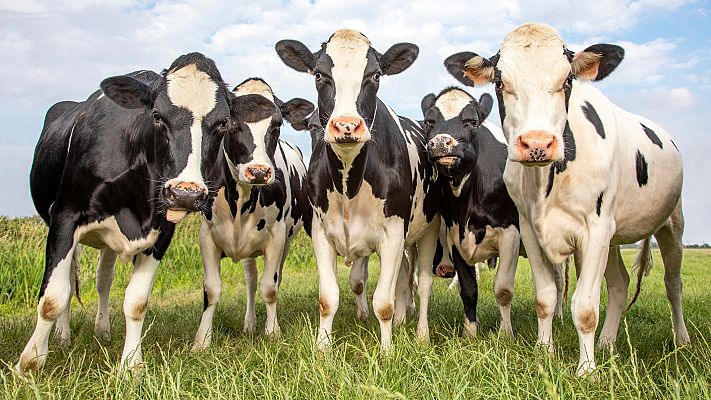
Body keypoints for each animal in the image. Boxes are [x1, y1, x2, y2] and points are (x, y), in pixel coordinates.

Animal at [19, 53, 232, 373]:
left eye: (222, 123)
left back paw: (103, 330)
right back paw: (63, 337)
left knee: (103, 280)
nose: (186, 193)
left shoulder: (161, 230)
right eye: (157, 115)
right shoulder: (65, 216)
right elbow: (52, 297)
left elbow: (137, 301)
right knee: (69, 281)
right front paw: (30, 362)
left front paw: (131, 365)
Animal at [191, 78, 313, 350]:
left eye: (277, 124)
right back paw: (249, 323)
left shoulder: (277, 236)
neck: (240, 203)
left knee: (270, 278)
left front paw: (273, 332)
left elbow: (270, 287)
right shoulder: (207, 235)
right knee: (250, 280)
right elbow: (211, 288)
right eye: (230, 122)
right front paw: (201, 340)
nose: (258, 172)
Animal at [275, 29, 442, 351]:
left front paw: (387, 351)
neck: (348, 185)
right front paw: (323, 348)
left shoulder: (394, 234)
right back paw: (402, 321)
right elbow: (328, 298)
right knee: (404, 276)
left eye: (375, 75)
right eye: (319, 74)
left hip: (429, 228)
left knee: (424, 282)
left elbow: (383, 302)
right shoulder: (320, 232)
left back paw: (422, 333)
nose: (346, 126)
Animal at [422, 88, 520, 337]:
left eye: (472, 122)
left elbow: (503, 288)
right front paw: (470, 333)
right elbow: (468, 289)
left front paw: (506, 335)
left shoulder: (510, 233)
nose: (440, 143)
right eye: (429, 122)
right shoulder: (456, 236)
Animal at [445, 23, 689, 375]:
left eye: (568, 81)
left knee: (673, 283)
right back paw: (607, 342)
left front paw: (586, 370)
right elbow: (545, 296)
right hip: (614, 238)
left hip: (671, 225)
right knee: (620, 285)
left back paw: (681, 340)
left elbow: (585, 307)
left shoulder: (595, 229)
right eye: (500, 82)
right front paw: (544, 350)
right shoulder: (529, 229)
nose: (537, 143)